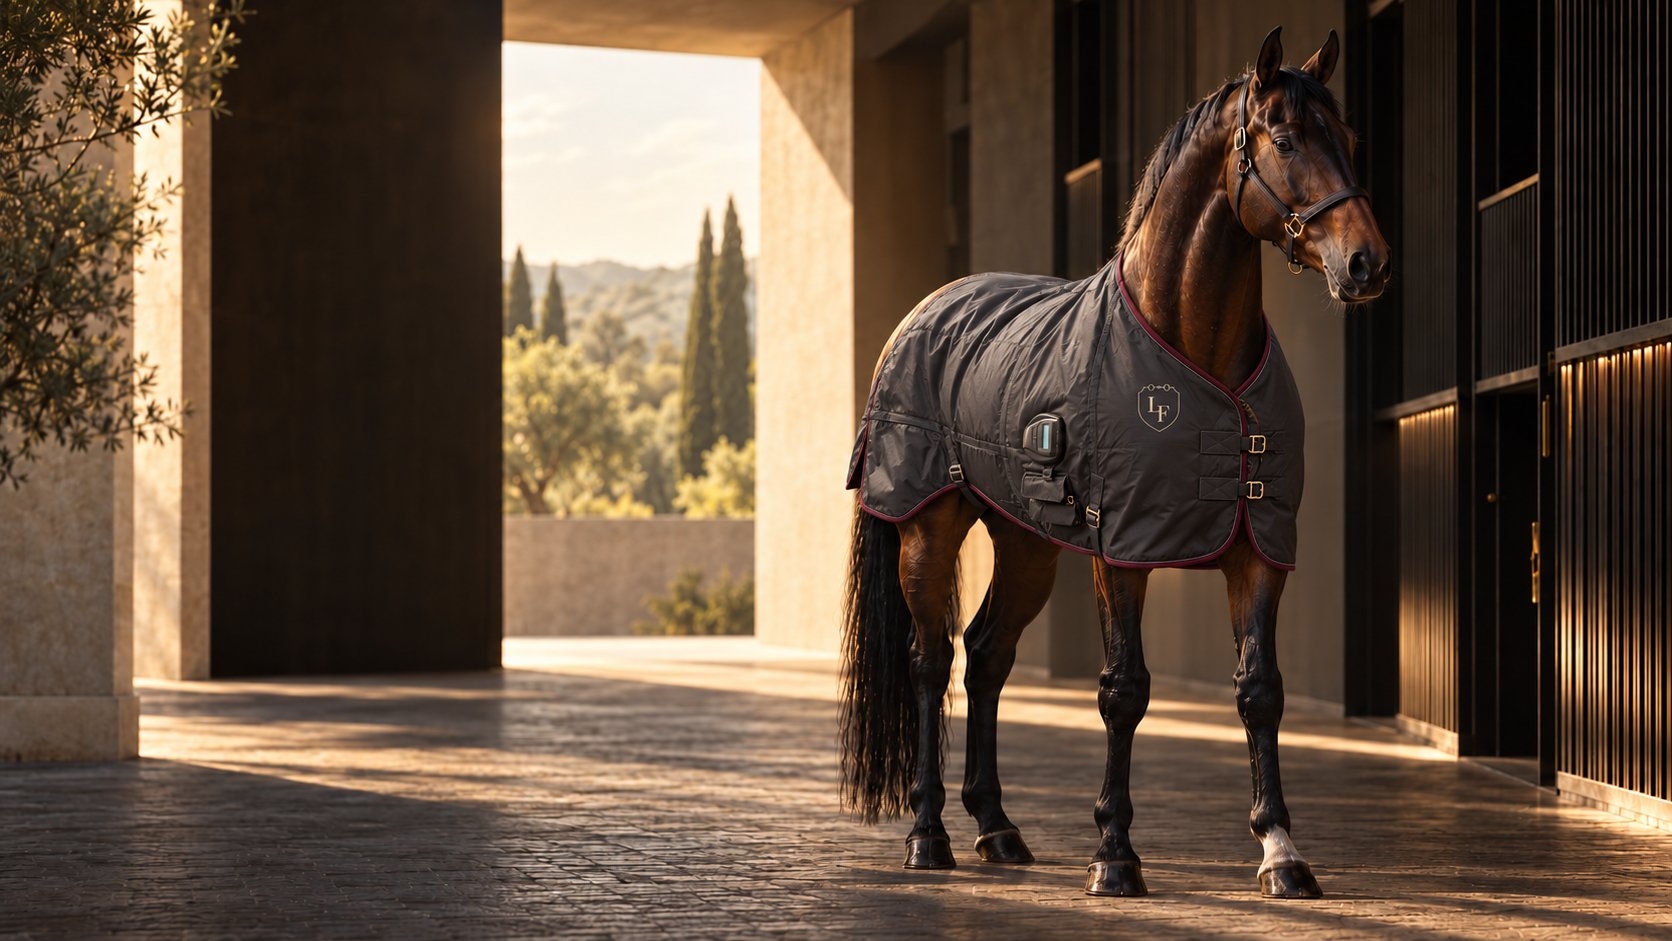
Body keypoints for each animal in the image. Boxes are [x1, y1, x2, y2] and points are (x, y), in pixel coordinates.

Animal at [837, 26, 1389, 899]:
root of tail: (920, 315)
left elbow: (1260, 691)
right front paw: (1115, 853)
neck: (1193, 357)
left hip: (1026, 544)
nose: (1367, 262)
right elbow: (1123, 689)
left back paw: (997, 827)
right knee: (931, 663)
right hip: (929, 529)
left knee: (988, 655)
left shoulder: (1259, 546)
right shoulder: (1121, 548)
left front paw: (1281, 851)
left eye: (1351, 138)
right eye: (1287, 139)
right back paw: (929, 835)